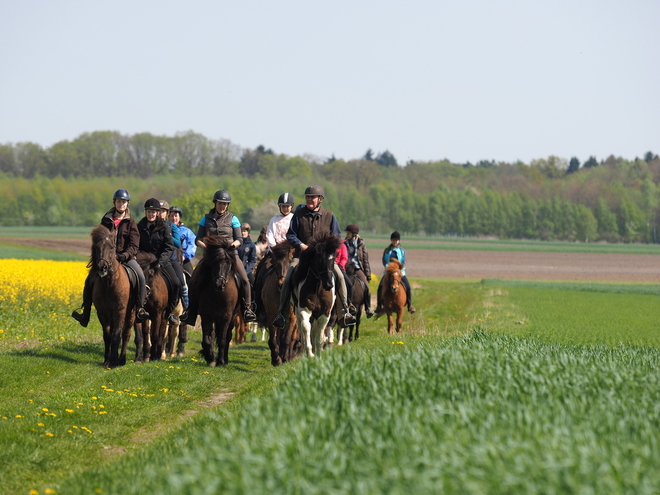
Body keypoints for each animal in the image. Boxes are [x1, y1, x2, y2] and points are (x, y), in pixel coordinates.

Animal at [89, 225, 135, 368]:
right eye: (97, 247)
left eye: (111, 247)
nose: (102, 267)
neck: (109, 284)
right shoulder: (102, 312)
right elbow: (107, 335)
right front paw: (107, 360)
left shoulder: (119, 311)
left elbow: (116, 335)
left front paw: (114, 362)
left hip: (131, 312)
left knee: (126, 334)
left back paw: (122, 360)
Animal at [191, 234, 240, 366]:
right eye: (214, 262)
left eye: (228, 263)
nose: (220, 284)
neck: (218, 295)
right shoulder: (206, 316)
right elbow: (207, 340)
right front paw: (210, 358)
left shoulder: (226, 317)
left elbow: (223, 340)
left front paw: (221, 361)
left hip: (233, 317)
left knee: (227, 336)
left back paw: (225, 360)